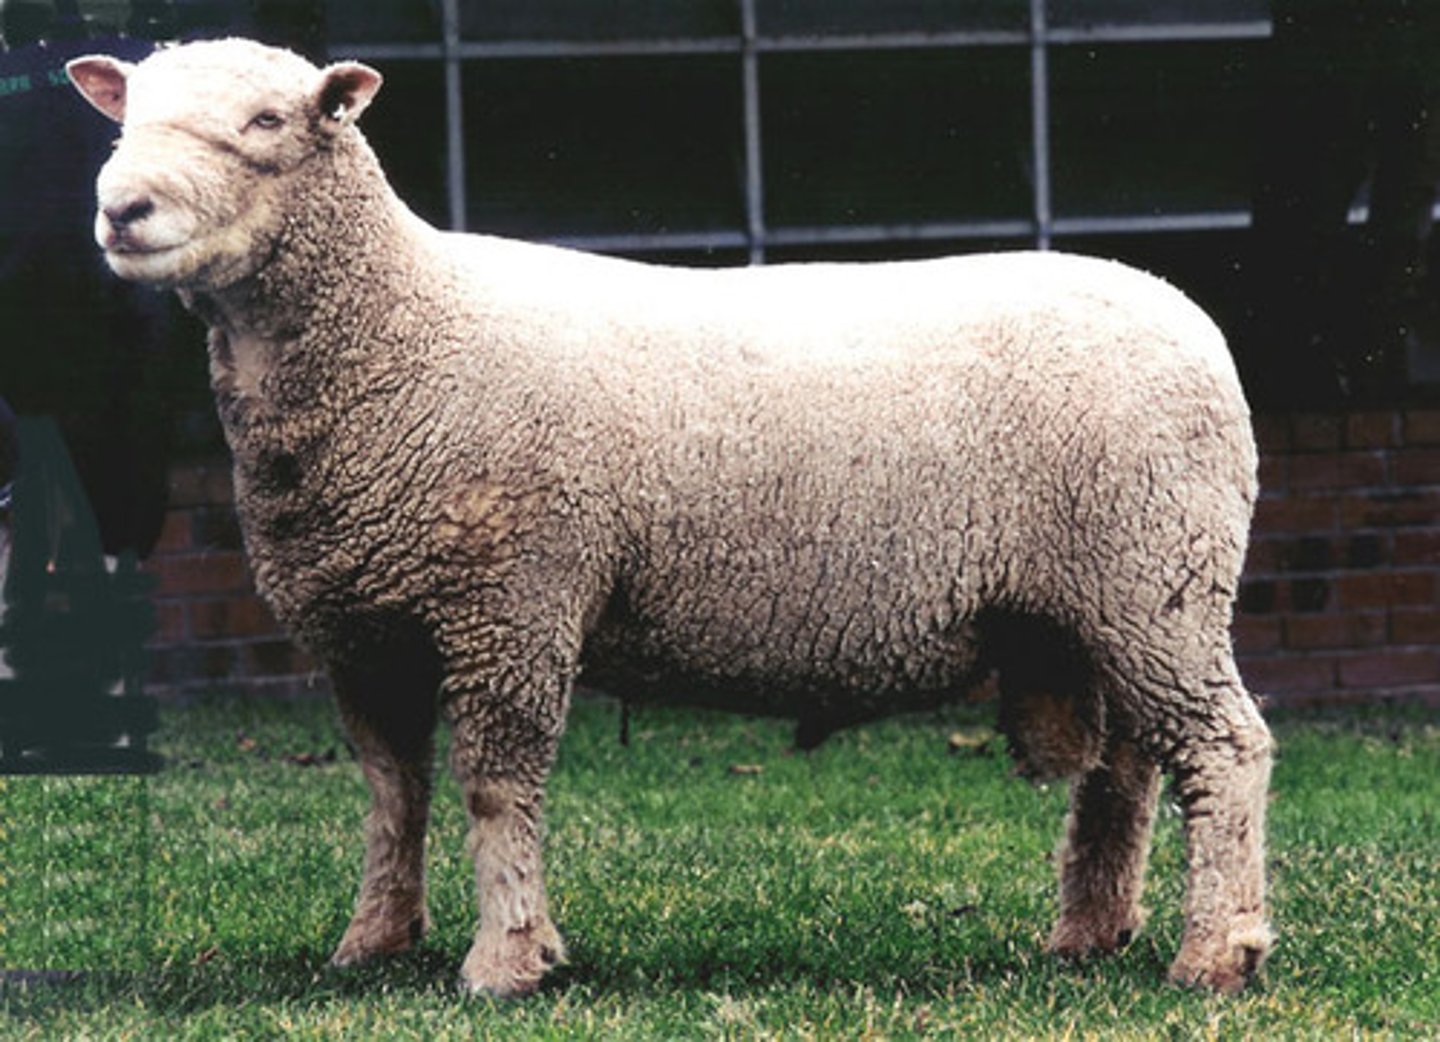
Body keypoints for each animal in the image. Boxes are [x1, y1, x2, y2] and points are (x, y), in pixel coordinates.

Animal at [67, 38, 1273, 998]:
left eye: (268, 121)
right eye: (124, 117)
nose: (121, 210)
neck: (404, 328)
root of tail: (1185, 312)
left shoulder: (514, 602)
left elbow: (494, 786)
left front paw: (506, 962)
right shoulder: (367, 627)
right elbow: (391, 792)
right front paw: (373, 943)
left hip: (1156, 575)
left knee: (1225, 748)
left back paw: (1216, 953)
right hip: (1103, 600)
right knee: (1127, 770)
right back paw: (1089, 936)